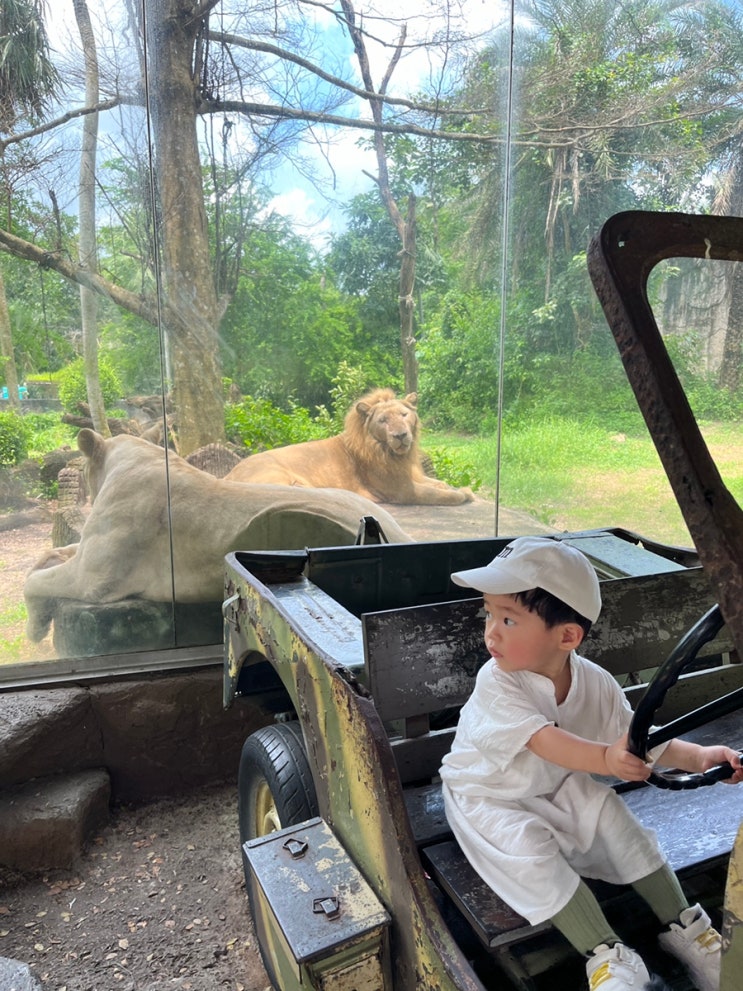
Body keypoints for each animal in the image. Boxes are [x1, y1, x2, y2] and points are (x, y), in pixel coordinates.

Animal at [225, 389, 475, 506]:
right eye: (383, 420)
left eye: (404, 415)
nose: (401, 435)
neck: (395, 455)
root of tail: (228, 475)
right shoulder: (402, 490)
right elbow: (438, 494)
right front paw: (463, 494)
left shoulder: (410, 476)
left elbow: (439, 483)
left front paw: (459, 488)